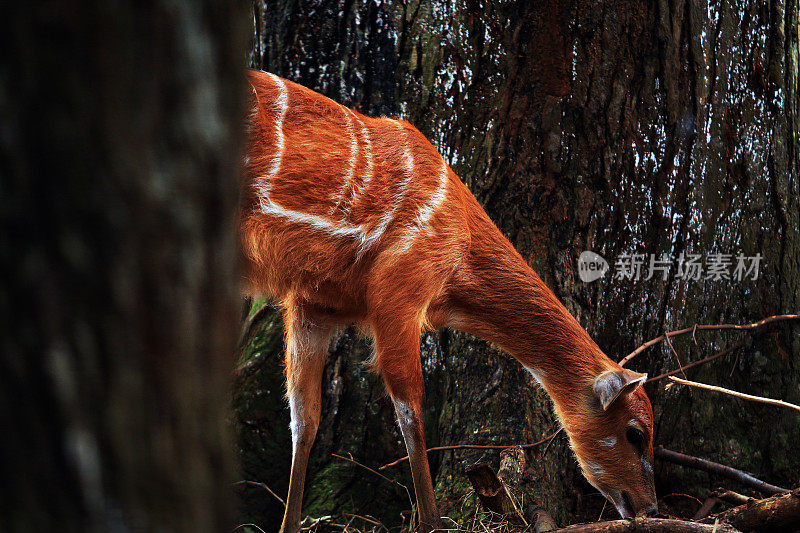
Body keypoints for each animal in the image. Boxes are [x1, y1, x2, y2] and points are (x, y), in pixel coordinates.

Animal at [242, 70, 656, 532]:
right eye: (636, 433)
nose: (651, 508)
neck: (461, 257)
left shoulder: (315, 301)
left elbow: (304, 418)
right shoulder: (399, 290)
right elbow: (410, 412)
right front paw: (431, 523)